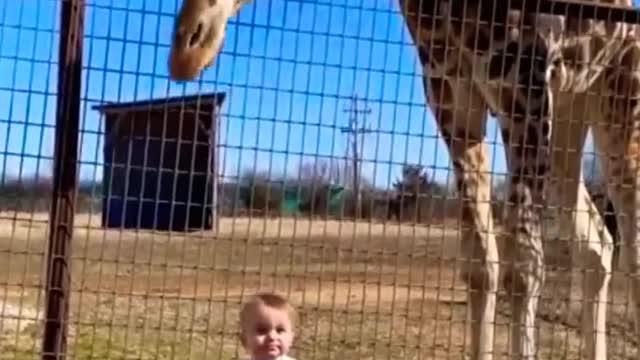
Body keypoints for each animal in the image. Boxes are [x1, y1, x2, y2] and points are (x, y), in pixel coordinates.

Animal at [168, 1, 640, 358]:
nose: (186, 48)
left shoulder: (523, 89)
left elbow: (523, 268)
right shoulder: (452, 98)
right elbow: (480, 265)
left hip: (617, 99)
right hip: (571, 111)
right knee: (600, 243)